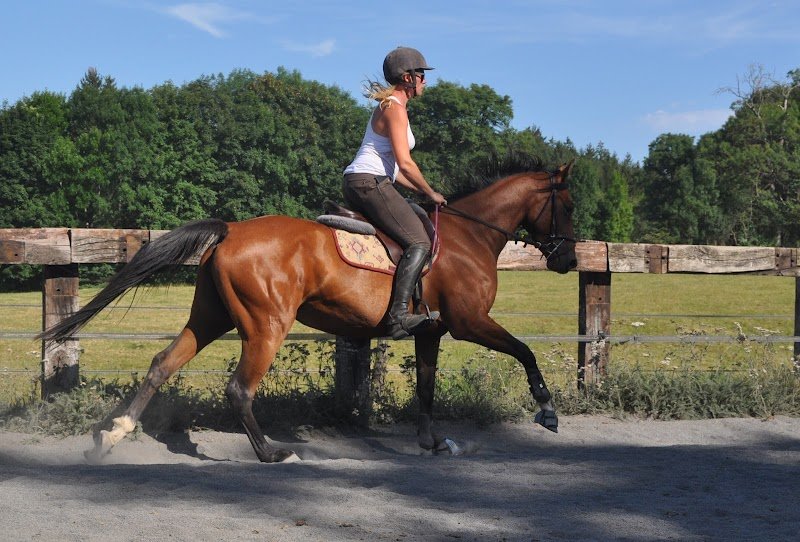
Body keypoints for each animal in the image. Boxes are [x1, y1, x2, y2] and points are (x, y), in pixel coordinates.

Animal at [40, 154, 578, 463]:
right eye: (569, 206)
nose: (569, 261)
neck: (471, 237)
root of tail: (231, 230)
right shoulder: (469, 323)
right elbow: (525, 351)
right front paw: (547, 411)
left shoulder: (432, 331)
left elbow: (425, 389)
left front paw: (433, 443)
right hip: (267, 325)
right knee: (239, 389)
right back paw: (271, 453)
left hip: (210, 317)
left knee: (161, 365)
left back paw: (113, 437)